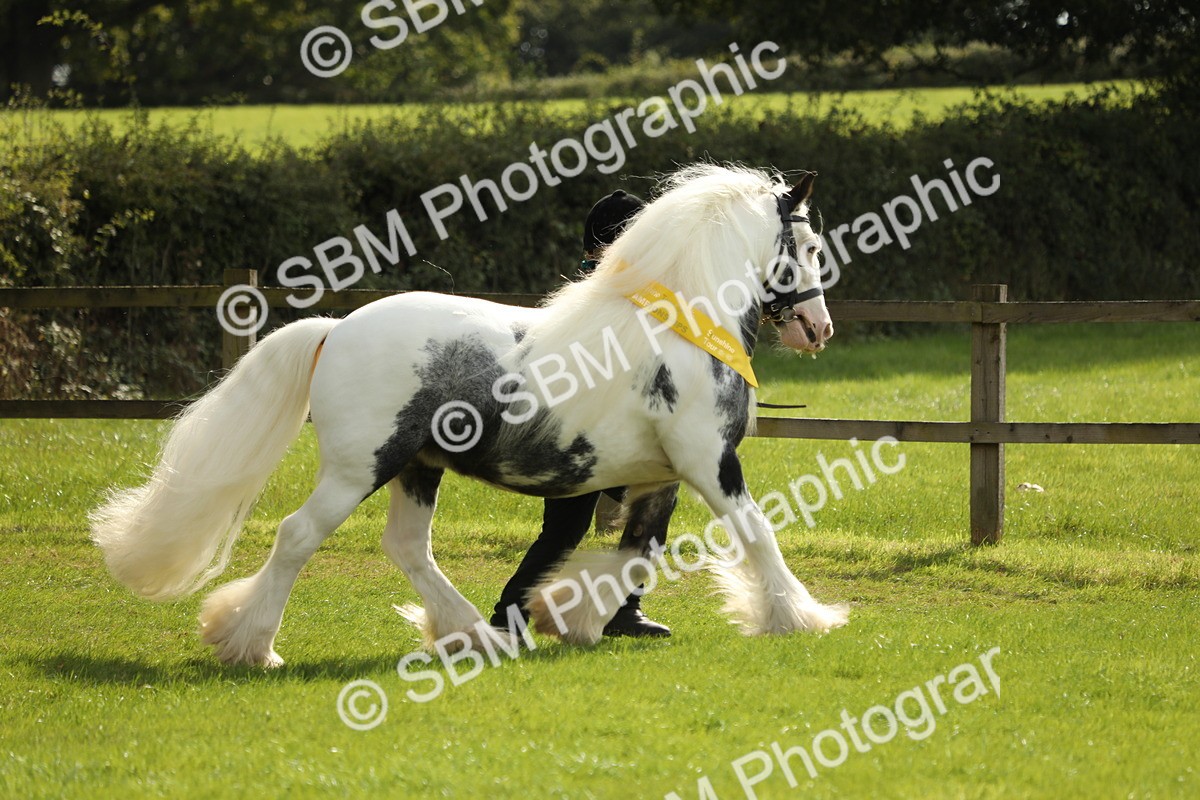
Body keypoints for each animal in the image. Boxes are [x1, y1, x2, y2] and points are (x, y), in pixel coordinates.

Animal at [90, 163, 848, 667]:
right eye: (810, 247)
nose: (819, 329)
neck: (683, 326)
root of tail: (336, 329)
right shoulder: (710, 463)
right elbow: (757, 535)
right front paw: (800, 616)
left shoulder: (658, 476)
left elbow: (636, 551)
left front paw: (569, 614)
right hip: (359, 467)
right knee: (298, 535)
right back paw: (252, 646)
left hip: (417, 468)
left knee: (408, 548)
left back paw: (472, 635)